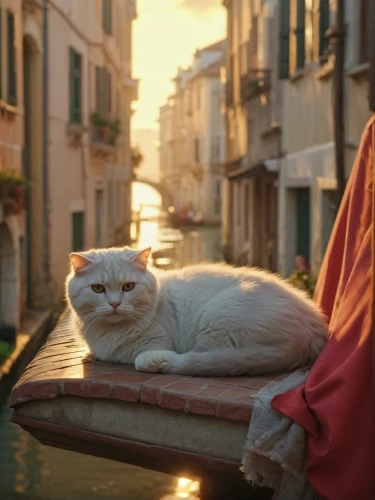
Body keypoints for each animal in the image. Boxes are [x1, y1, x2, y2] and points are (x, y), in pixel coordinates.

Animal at [66, 248, 328, 376]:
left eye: (128, 287)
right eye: (97, 289)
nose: (115, 304)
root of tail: (313, 330)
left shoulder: (154, 342)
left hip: (218, 318)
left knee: (202, 359)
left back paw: (158, 362)